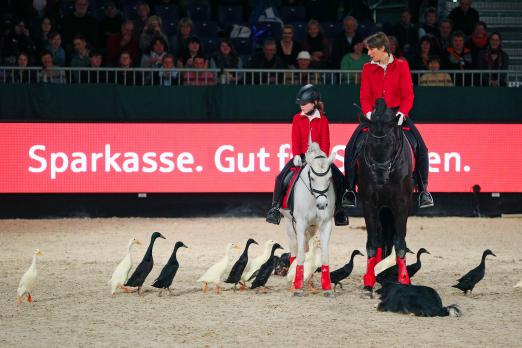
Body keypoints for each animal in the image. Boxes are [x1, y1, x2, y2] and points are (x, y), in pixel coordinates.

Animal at [278, 143, 336, 298]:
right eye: (313, 178)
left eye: (329, 178)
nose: (322, 205)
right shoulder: (300, 224)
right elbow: (301, 256)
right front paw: (298, 287)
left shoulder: (326, 224)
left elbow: (325, 256)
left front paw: (327, 288)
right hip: (289, 223)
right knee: (294, 249)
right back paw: (294, 280)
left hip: (312, 227)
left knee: (306, 247)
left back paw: (309, 281)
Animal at [356, 98, 412, 290]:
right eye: (369, 144)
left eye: (391, 143)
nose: (380, 178)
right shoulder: (369, 205)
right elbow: (373, 243)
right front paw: (369, 281)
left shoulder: (402, 204)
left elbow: (400, 242)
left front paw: (404, 280)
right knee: (381, 238)